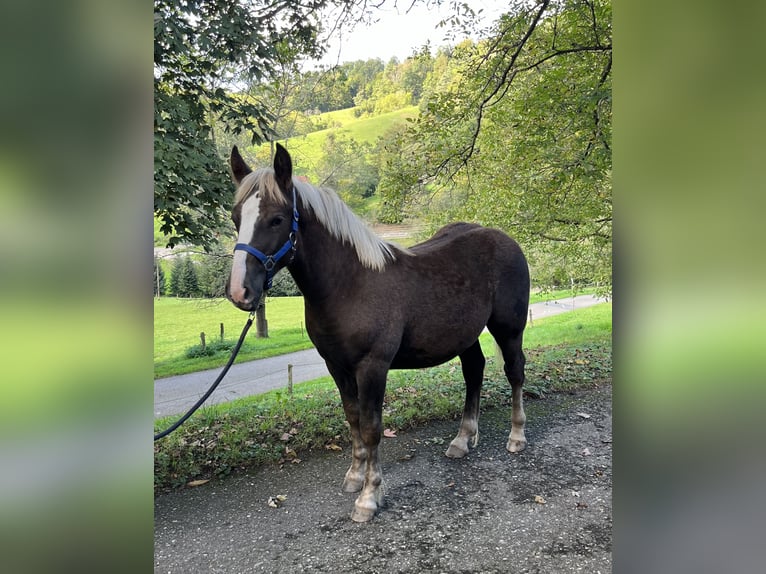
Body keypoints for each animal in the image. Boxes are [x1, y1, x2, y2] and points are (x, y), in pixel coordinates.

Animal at [225, 145, 532, 528]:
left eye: (277, 220)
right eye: (236, 217)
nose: (240, 292)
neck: (350, 284)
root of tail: (506, 240)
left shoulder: (372, 367)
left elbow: (372, 427)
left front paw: (369, 497)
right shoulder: (337, 366)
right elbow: (353, 417)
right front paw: (355, 476)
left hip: (509, 329)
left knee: (514, 373)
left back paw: (516, 436)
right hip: (465, 335)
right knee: (474, 371)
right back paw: (463, 440)